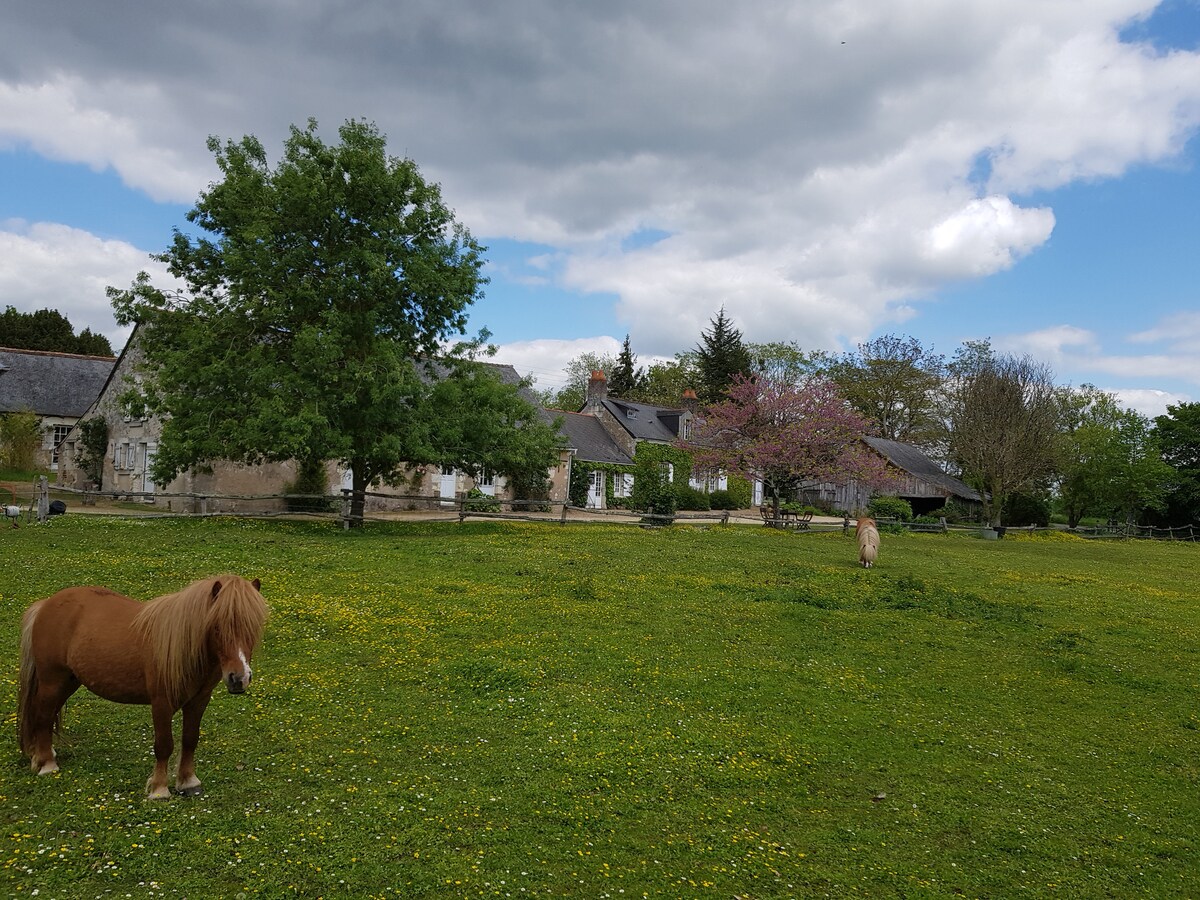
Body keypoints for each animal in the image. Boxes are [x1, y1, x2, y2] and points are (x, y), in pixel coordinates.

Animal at [18, 573, 267, 801]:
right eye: (217, 626)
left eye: (254, 626)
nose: (239, 678)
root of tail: (45, 605)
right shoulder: (161, 703)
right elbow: (164, 745)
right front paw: (159, 790)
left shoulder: (198, 701)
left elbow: (190, 739)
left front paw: (188, 783)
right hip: (52, 680)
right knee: (42, 715)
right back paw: (47, 764)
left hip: (69, 682)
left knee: (47, 716)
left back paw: (42, 754)